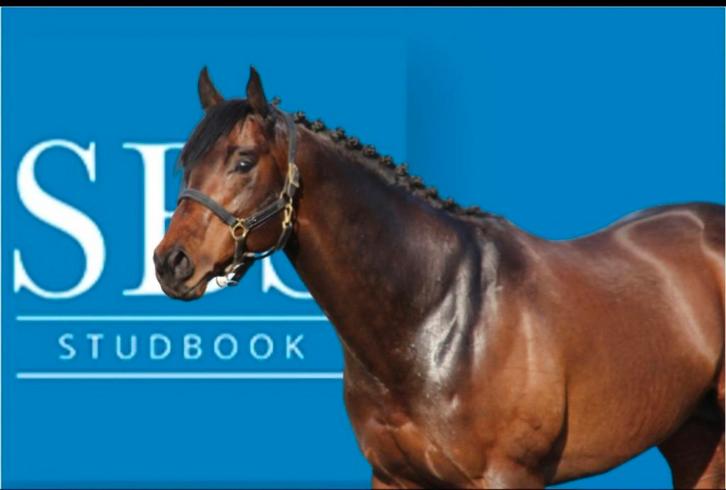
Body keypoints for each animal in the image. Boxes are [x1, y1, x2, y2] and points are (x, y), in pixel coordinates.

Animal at [154, 66, 725, 489]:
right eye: (186, 164)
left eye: (243, 161)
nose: (170, 262)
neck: (438, 313)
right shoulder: (393, 477)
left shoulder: (508, 477)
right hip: (695, 436)